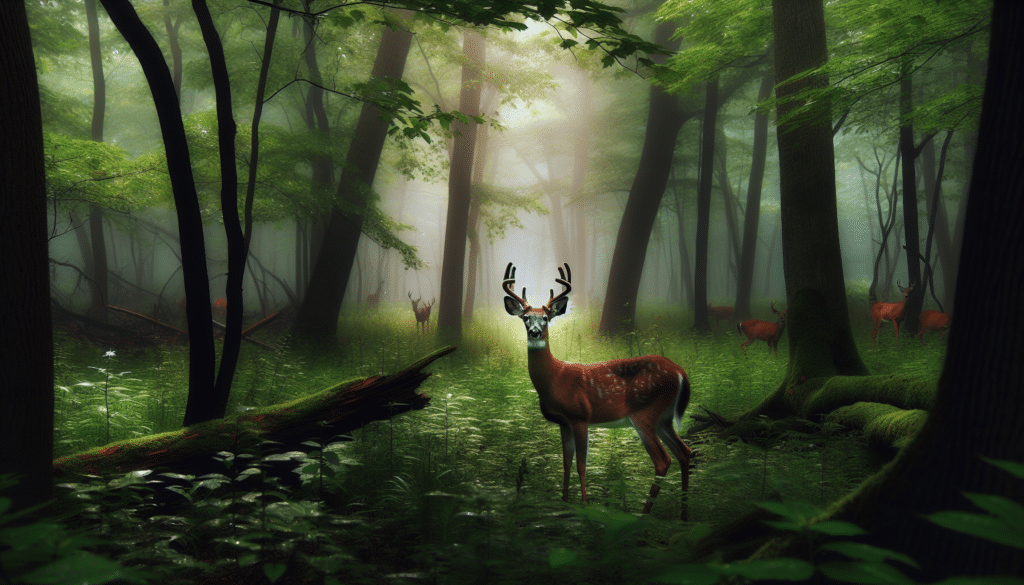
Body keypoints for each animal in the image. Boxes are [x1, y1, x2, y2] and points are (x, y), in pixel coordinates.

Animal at [502, 262, 693, 519]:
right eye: (524, 318)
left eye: (545, 318)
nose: (534, 332)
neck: (555, 378)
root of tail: (681, 372)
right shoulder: (564, 423)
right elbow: (566, 463)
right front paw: (564, 503)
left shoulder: (580, 416)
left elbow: (582, 465)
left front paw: (583, 506)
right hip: (664, 417)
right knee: (685, 452)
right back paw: (684, 515)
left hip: (645, 412)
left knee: (663, 460)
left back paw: (642, 514)